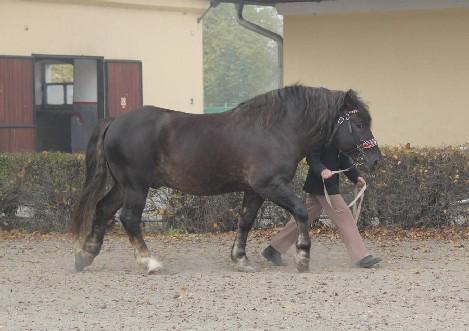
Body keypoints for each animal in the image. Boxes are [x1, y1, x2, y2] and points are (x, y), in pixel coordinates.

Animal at [72, 85, 380, 274]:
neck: (275, 130)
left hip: (123, 186)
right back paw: (149, 263)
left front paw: (241, 259)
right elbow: (301, 211)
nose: (376, 159)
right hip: (136, 187)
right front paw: (303, 257)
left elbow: (245, 221)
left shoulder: (255, 191)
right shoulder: (271, 186)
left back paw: (85, 256)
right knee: (129, 219)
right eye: (359, 123)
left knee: (102, 210)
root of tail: (115, 121)